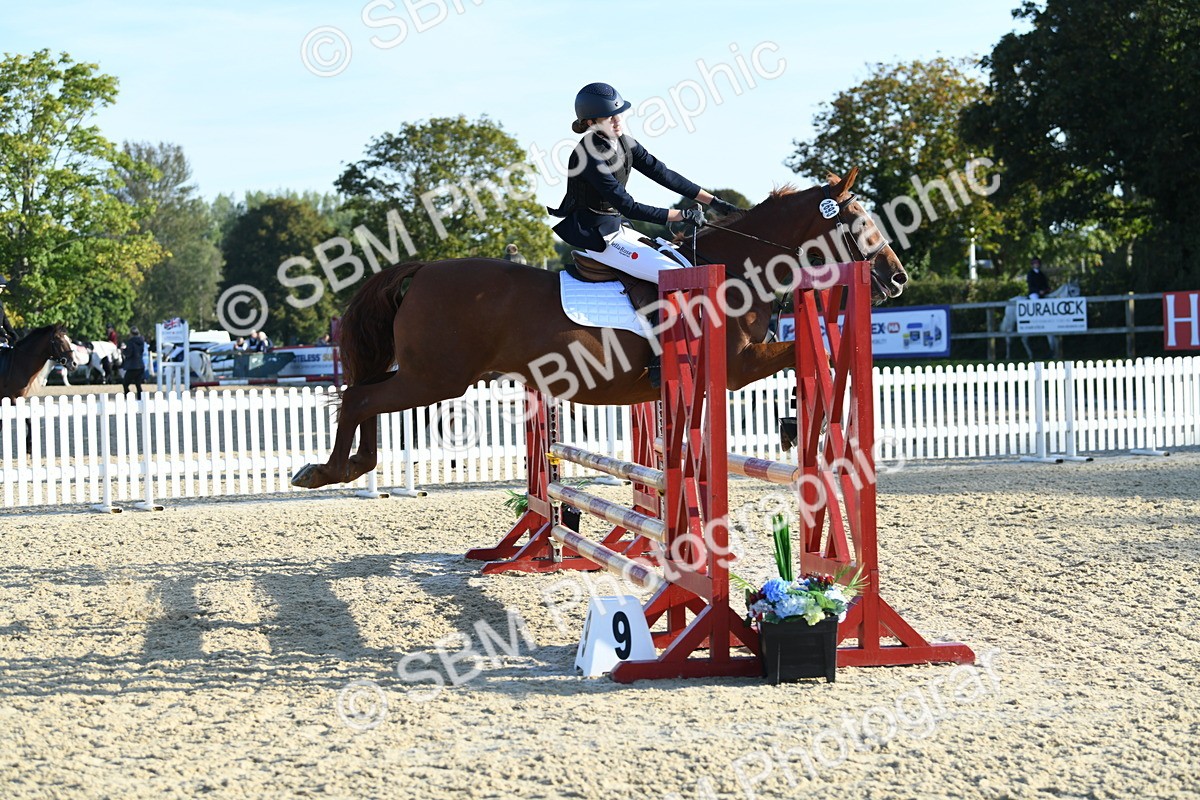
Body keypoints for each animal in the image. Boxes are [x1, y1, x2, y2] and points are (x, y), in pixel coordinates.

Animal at [291, 168, 908, 489]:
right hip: (435, 379)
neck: (736, 267)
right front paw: (793, 422)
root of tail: (420, 271)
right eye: (860, 222)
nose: (897, 278)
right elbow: (798, 352)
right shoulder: (738, 367)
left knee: (362, 396)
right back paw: (327, 470)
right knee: (358, 399)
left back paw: (351, 466)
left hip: (426, 376)